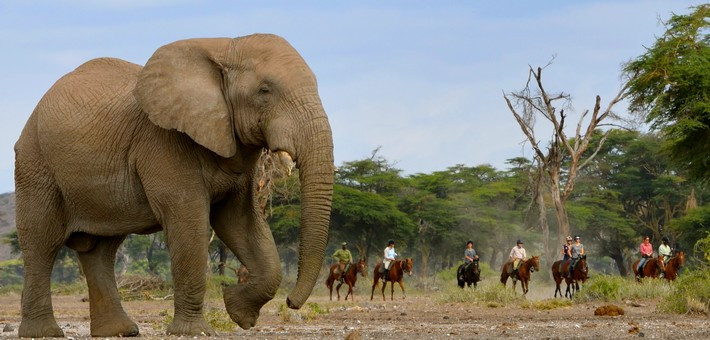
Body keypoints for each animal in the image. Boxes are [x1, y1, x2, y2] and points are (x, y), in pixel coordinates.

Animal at [13, 33, 336, 336]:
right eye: (265, 91)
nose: (291, 303)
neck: (223, 48)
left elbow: (241, 223)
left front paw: (238, 312)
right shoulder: (163, 142)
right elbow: (189, 224)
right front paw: (196, 332)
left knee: (101, 251)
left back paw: (121, 331)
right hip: (35, 162)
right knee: (43, 242)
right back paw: (44, 333)